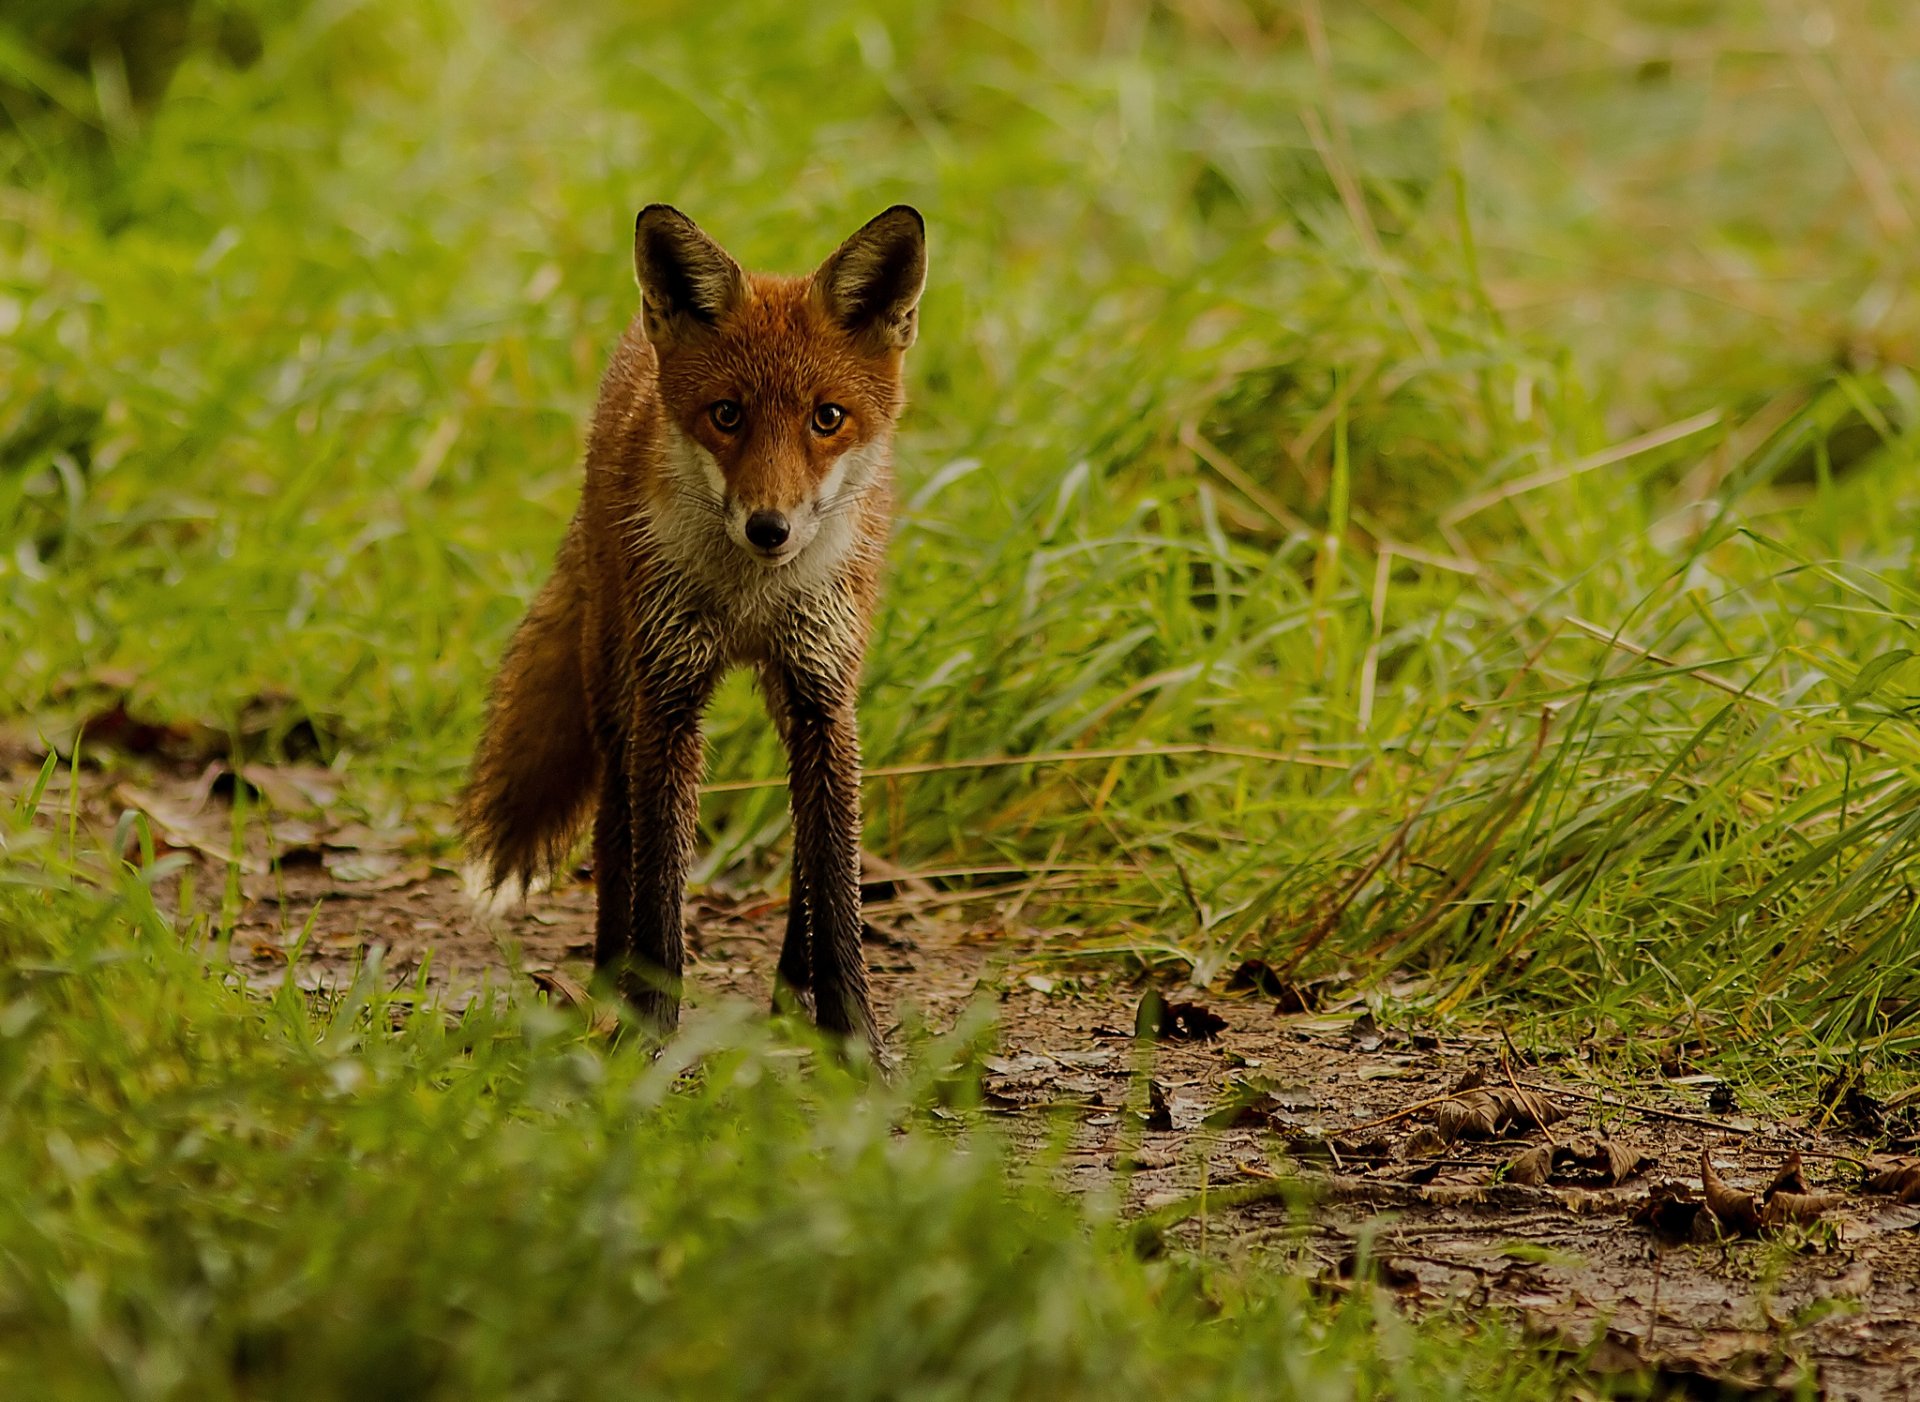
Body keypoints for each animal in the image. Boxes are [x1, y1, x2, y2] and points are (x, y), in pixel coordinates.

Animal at [462, 204, 928, 1061]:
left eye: (827, 418)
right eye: (727, 414)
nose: (770, 528)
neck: (749, 598)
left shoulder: (823, 694)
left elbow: (835, 882)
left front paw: (854, 1042)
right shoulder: (668, 697)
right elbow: (658, 887)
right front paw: (645, 1033)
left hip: (792, 696)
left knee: (803, 852)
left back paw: (793, 987)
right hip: (615, 681)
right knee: (615, 833)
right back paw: (606, 983)